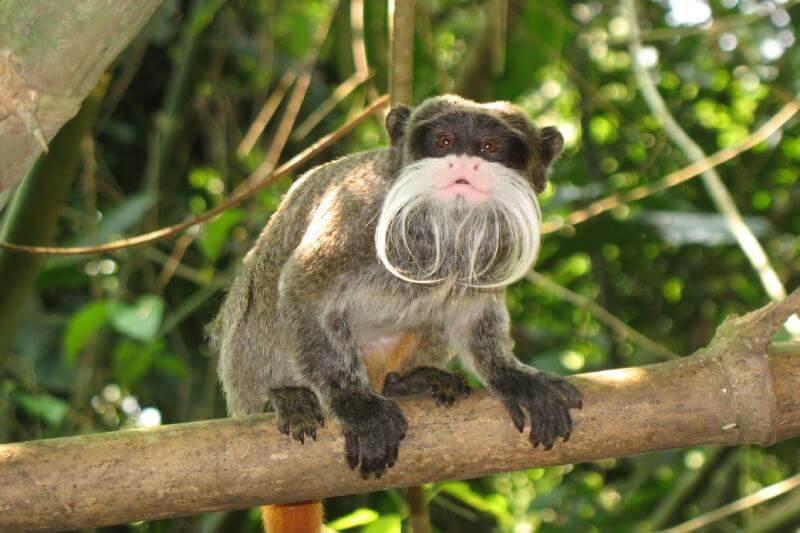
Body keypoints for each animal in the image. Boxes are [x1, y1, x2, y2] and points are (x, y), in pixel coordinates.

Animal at [208, 94, 582, 533]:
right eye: (443, 141)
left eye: (490, 147)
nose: (463, 162)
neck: (445, 226)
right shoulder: (358, 209)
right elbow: (304, 289)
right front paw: (357, 406)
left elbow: (473, 316)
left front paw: (512, 378)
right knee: (262, 291)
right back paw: (283, 397)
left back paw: (406, 382)